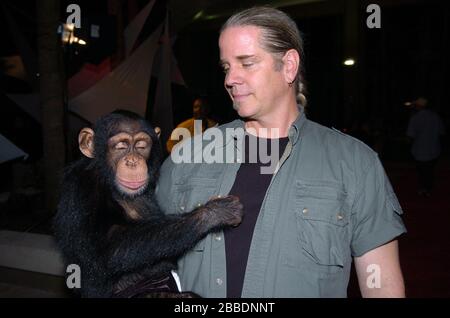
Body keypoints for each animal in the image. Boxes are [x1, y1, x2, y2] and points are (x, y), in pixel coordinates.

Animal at [53, 110, 244, 298]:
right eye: (121, 146)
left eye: (141, 146)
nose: (132, 161)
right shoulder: (82, 188)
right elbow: (105, 247)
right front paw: (214, 213)